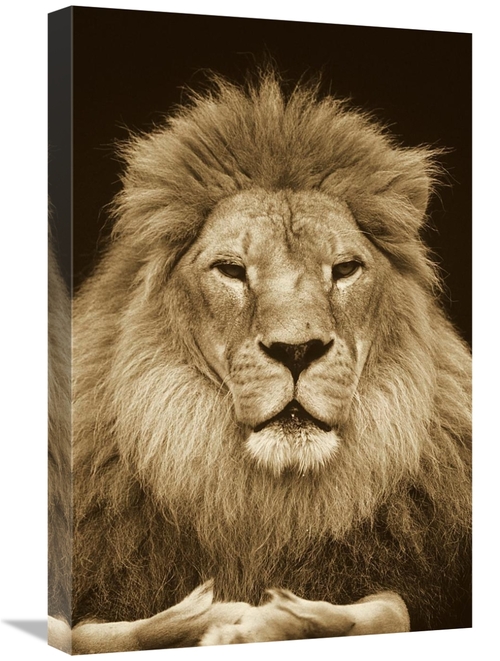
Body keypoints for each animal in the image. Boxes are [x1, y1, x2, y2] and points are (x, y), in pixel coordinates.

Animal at [50, 72, 472, 653]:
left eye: (345, 269)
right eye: (231, 269)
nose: (297, 350)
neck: (262, 500)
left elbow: (392, 610)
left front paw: (290, 616)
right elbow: (88, 634)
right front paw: (199, 617)